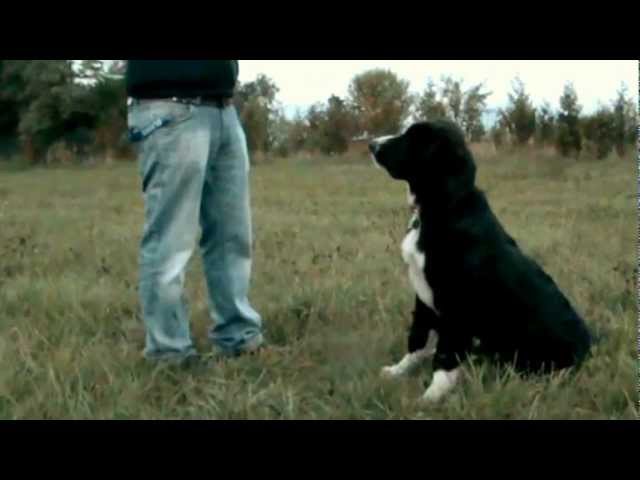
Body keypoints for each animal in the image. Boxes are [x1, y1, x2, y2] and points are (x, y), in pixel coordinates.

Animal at [372, 121, 592, 404]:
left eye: (414, 138)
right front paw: (398, 371)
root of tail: (590, 346)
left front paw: (432, 396)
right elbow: (417, 339)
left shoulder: (456, 306)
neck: (443, 208)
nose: (372, 144)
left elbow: (444, 356)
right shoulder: (422, 297)